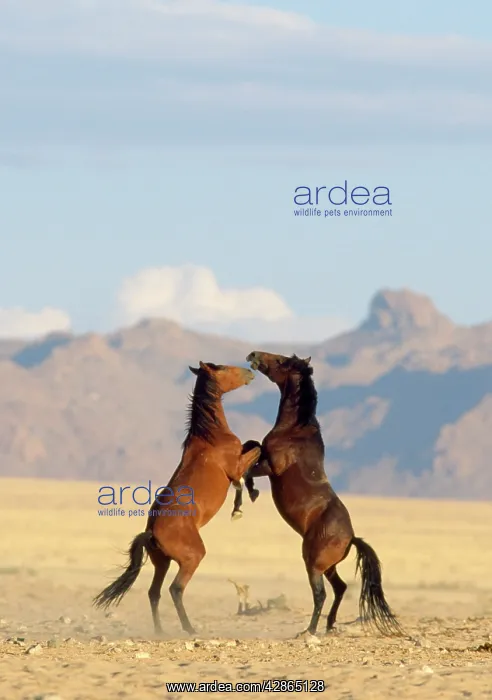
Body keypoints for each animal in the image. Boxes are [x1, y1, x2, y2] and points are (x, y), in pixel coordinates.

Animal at [93, 361, 262, 636]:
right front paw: (243, 503)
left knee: (154, 592)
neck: (210, 436)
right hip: (191, 558)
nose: (250, 371)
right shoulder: (234, 466)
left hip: (161, 563)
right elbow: (254, 450)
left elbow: (251, 447)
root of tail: (150, 532)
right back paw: (189, 629)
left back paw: (160, 631)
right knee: (175, 589)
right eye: (223, 368)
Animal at [234, 351, 402, 638]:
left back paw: (309, 630)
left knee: (321, 594)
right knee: (340, 588)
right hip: (329, 567)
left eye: (281, 361)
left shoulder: (271, 468)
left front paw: (249, 496)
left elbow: (250, 466)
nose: (254, 354)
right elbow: (251, 446)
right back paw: (330, 625)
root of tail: (351, 538)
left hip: (313, 563)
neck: (295, 430)